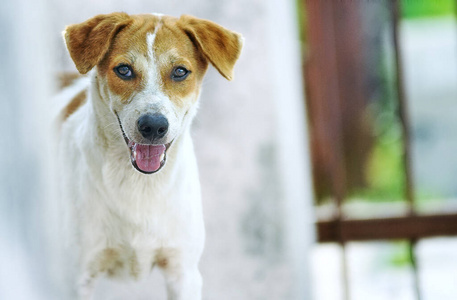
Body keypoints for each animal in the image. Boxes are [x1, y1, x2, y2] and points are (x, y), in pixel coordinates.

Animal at [56, 12, 242, 298]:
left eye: (180, 72)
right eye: (124, 70)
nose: (153, 126)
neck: (138, 185)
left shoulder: (183, 272)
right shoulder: (76, 278)